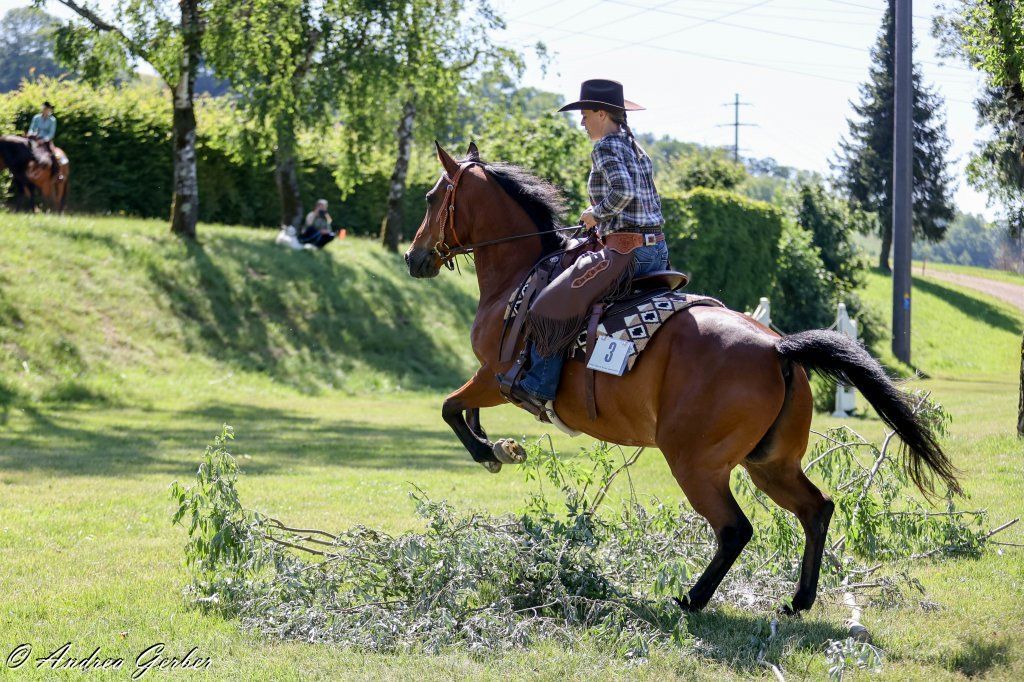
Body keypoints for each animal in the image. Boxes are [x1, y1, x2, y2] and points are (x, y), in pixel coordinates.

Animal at [404, 141, 961, 615]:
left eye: (432, 196)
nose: (414, 256)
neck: (523, 275)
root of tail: (777, 347)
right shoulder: (488, 380)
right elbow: (464, 409)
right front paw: (499, 447)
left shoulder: (496, 376)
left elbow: (451, 407)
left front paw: (490, 453)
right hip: (770, 464)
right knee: (816, 509)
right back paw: (798, 600)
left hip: (695, 463)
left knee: (735, 529)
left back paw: (693, 598)